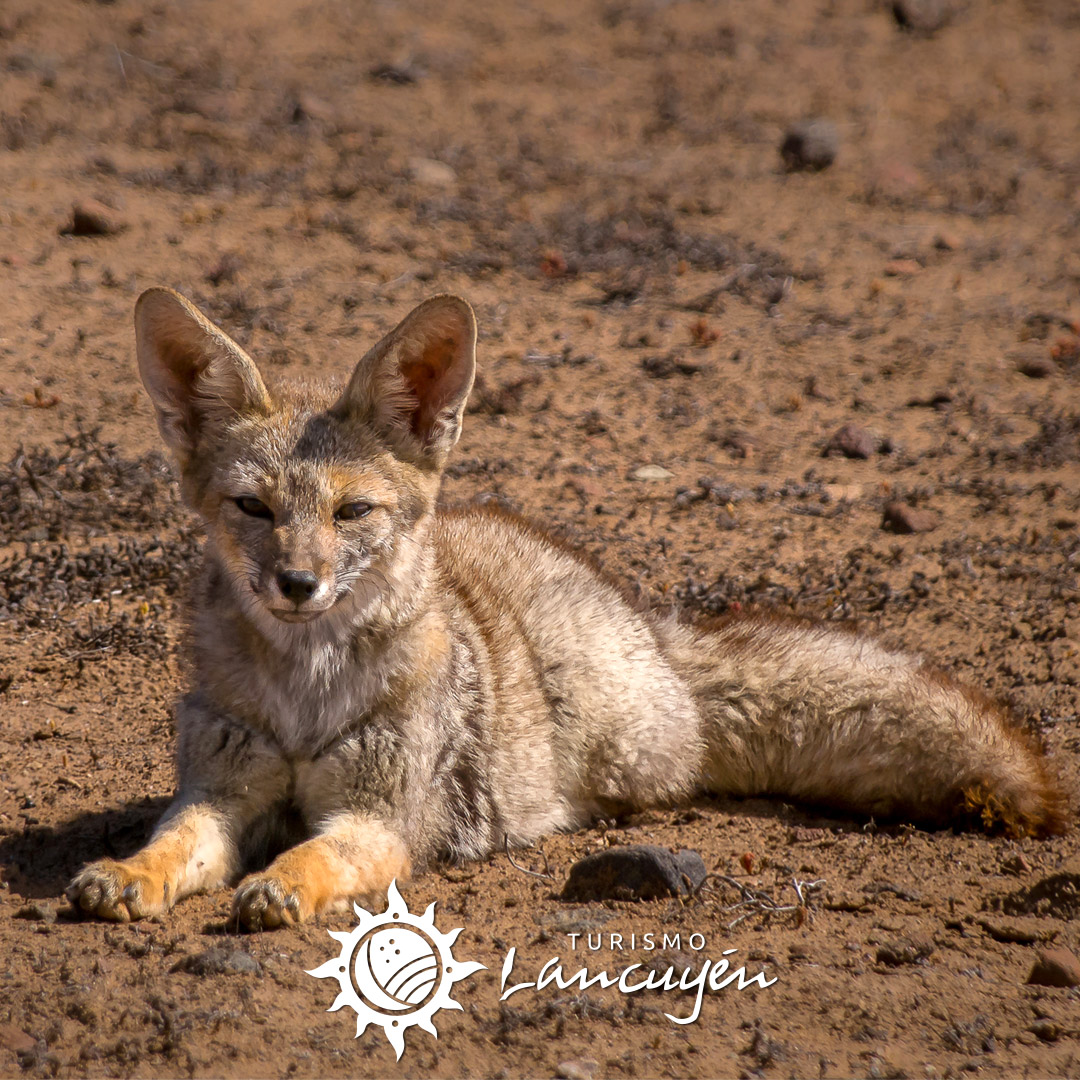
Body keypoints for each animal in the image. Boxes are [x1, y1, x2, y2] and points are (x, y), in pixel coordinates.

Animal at [66, 288, 1068, 930]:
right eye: (253, 509)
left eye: (352, 513)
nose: (297, 586)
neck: (304, 696)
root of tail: (652, 629)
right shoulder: (219, 792)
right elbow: (172, 843)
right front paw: (126, 874)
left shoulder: (382, 818)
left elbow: (318, 856)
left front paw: (278, 888)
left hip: (614, 751)